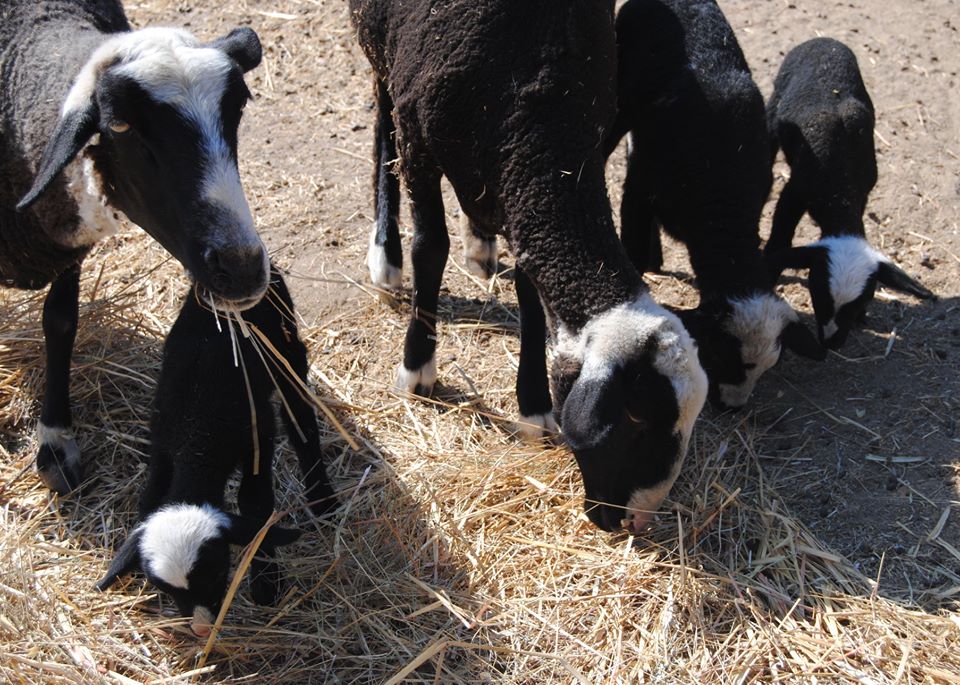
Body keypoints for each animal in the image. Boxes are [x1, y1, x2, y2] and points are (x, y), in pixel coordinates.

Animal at [96, 270, 338, 640]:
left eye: (217, 573)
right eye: (167, 589)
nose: (201, 629)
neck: (196, 435)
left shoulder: (257, 437)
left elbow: (255, 503)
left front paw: (266, 580)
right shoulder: (162, 443)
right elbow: (149, 497)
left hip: (286, 347)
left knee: (300, 418)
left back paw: (322, 498)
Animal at [348, 0, 708, 536]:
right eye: (636, 419)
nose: (635, 521)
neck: (535, 123)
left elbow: (528, 288)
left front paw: (534, 407)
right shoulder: (419, 137)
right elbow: (430, 249)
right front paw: (417, 370)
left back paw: (481, 240)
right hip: (382, 53)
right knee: (381, 120)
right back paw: (386, 255)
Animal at [760, 36, 932, 348]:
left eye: (863, 299)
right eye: (817, 295)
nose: (831, 342)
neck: (840, 193)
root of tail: (823, 39)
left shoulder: (864, 188)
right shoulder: (795, 190)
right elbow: (780, 238)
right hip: (776, 99)